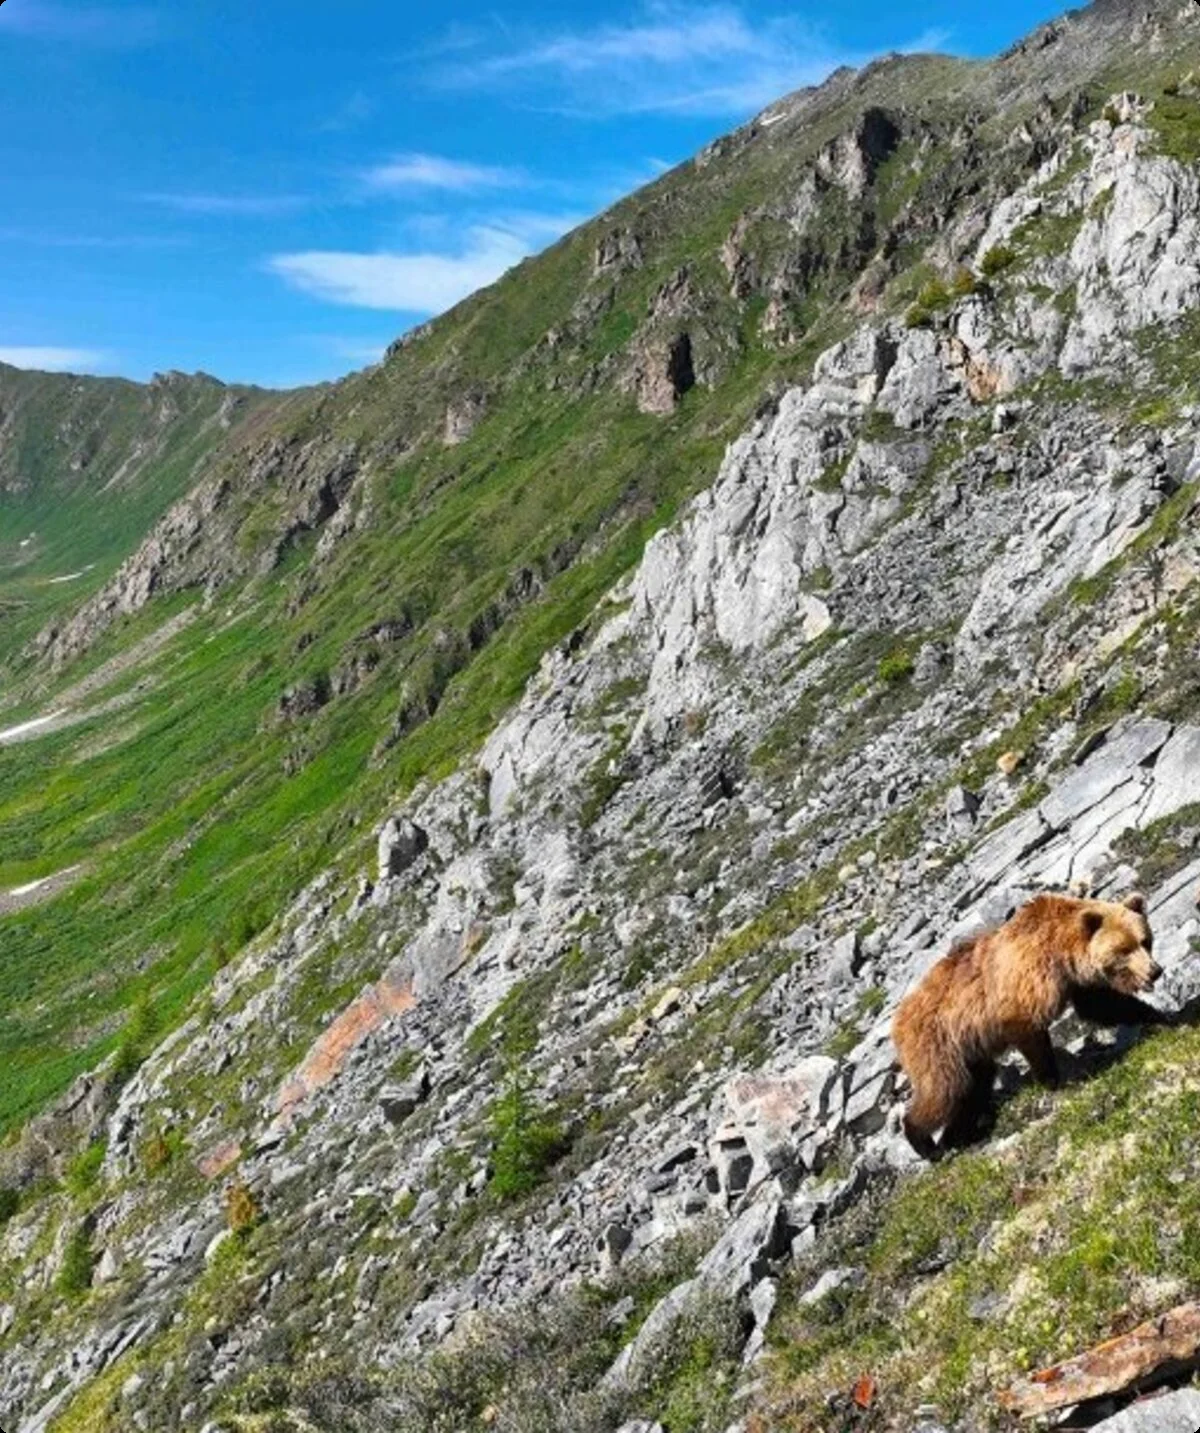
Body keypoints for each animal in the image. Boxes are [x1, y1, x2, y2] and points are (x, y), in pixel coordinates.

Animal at [892, 891, 1167, 1160]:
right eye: (1125, 948)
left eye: (1145, 940)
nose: (1155, 971)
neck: (1062, 952)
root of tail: (898, 1021)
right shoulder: (1027, 982)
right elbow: (1030, 1032)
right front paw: (1053, 1081)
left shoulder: (1075, 982)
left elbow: (1102, 1005)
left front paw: (1161, 1017)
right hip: (937, 1044)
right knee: (946, 1090)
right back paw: (925, 1143)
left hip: (970, 1050)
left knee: (973, 1088)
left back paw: (959, 1136)